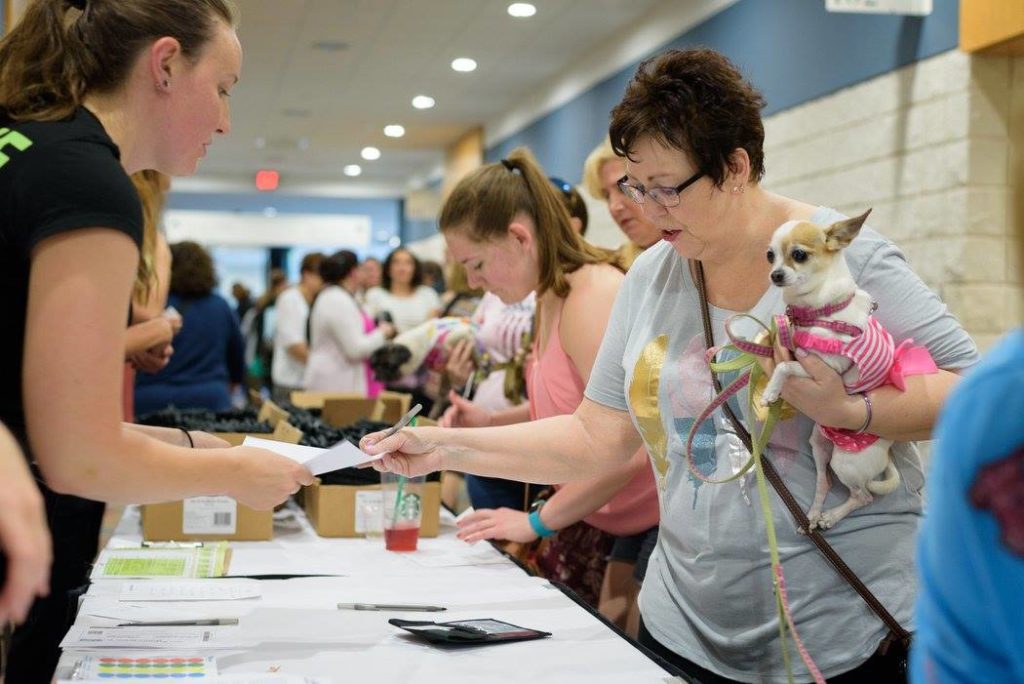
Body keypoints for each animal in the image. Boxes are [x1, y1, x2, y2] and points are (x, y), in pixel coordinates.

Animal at [757, 210, 901, 532]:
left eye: (799, 254)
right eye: (770, 256)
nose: (775, 274)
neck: (816, 310)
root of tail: (887, 451)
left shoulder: (824, 369)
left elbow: (784, 365)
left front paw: (771, 392)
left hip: (846, 462)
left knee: (862, 497)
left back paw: (831, 516)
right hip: (819, 447)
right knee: (824, 484)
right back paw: (812, 516)